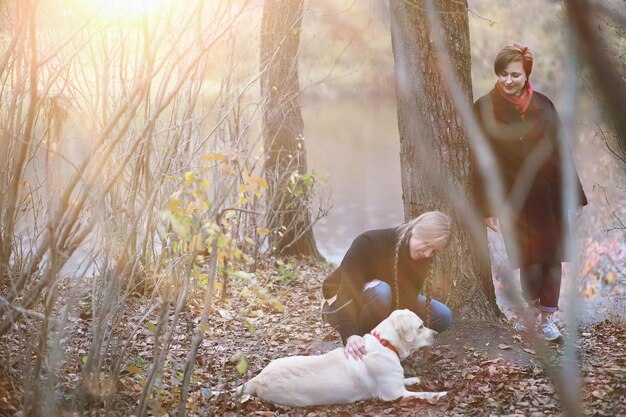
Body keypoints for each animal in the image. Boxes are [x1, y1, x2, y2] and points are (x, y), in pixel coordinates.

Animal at [227, 308, 446, 406]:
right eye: (420, 326)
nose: (436, 334)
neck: (386, 343)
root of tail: (258, 379)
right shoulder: (394, 394)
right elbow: (421, 394)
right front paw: (439, 394)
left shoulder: (396, 384)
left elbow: (407, 380)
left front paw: (414, 378)